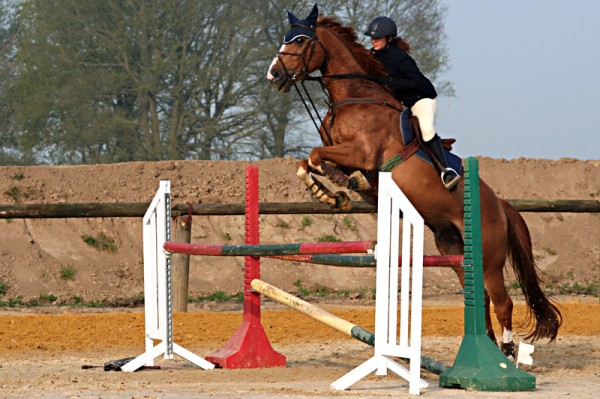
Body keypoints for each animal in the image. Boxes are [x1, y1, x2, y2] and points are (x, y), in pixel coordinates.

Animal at [268, 3, 564, 360]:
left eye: (299, 40)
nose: (274, 75)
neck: (353, 96)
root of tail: (500, 205)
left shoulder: (363, 153)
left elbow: (316, 156)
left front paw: (345, 186)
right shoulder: (344, 153)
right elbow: (308, 161)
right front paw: (331, 194)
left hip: (489, 257)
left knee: (502, 301)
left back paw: (506, 354)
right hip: (453, 248)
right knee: (478, 297)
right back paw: (488, 348)